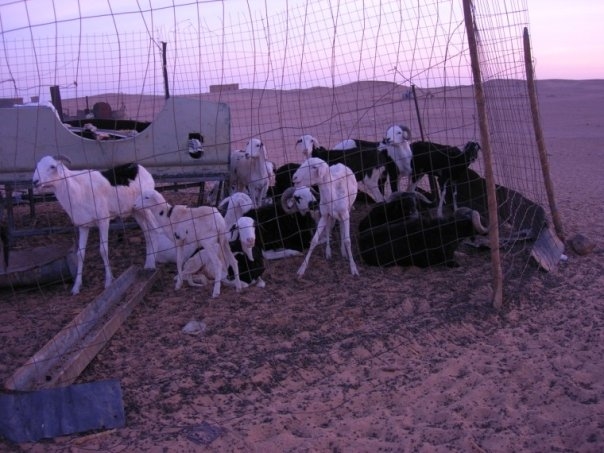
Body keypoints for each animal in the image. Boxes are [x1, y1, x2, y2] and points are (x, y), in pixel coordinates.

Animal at [32, 154, 158, 294]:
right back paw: (148, 264)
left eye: (52, 166)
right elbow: (80, 254)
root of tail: (141, 168)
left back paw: (154, 264)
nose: (35, 182)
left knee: (155, 229)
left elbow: (103, 250)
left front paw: (109, 282)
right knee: (147, 234)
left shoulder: (103, 220)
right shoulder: (83, 225)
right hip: (136, 211)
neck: (76, 188)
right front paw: (76, 287)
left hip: (146, 208)